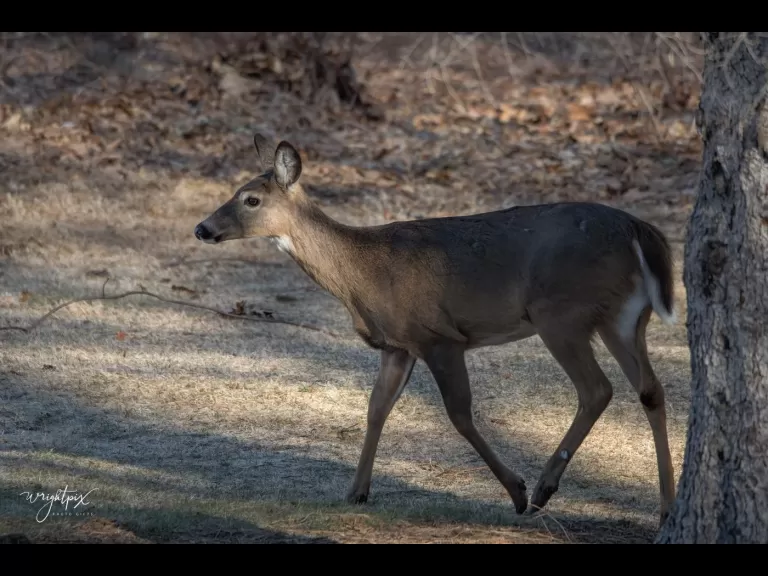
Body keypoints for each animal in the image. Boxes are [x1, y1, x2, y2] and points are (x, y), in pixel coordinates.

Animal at [194, 134, 678, 527]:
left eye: (250, 200)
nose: (202, 228)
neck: (361, 276)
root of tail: (640, 229)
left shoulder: (440, 337)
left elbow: (459, 415)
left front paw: (516, 491)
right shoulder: (397, 345)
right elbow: (376, 409)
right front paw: (356, 492)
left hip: (560, 313)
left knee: (597, 389)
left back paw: (543, 490)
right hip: (623, 317)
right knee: (650, 389)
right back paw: (666, 508)